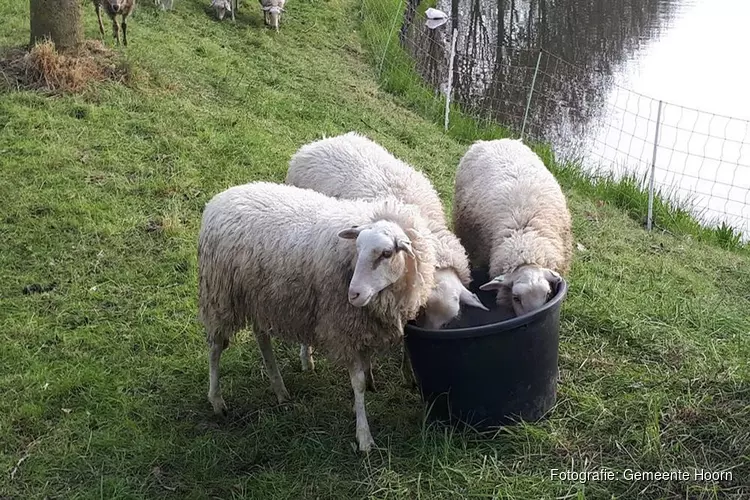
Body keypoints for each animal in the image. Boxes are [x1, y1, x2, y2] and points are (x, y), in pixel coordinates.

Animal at [197, 181, 438, 454]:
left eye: (387, 253)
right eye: (357, 248)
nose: (353, 294)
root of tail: (221, 197)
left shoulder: (363, 327)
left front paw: (368, 390)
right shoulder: (344, 329)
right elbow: (357, 384)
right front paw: (364, 436)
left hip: (260, 297)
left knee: (261, 338)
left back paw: (280, 389)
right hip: (220, 297)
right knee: (216, 348)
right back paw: (217, 400)